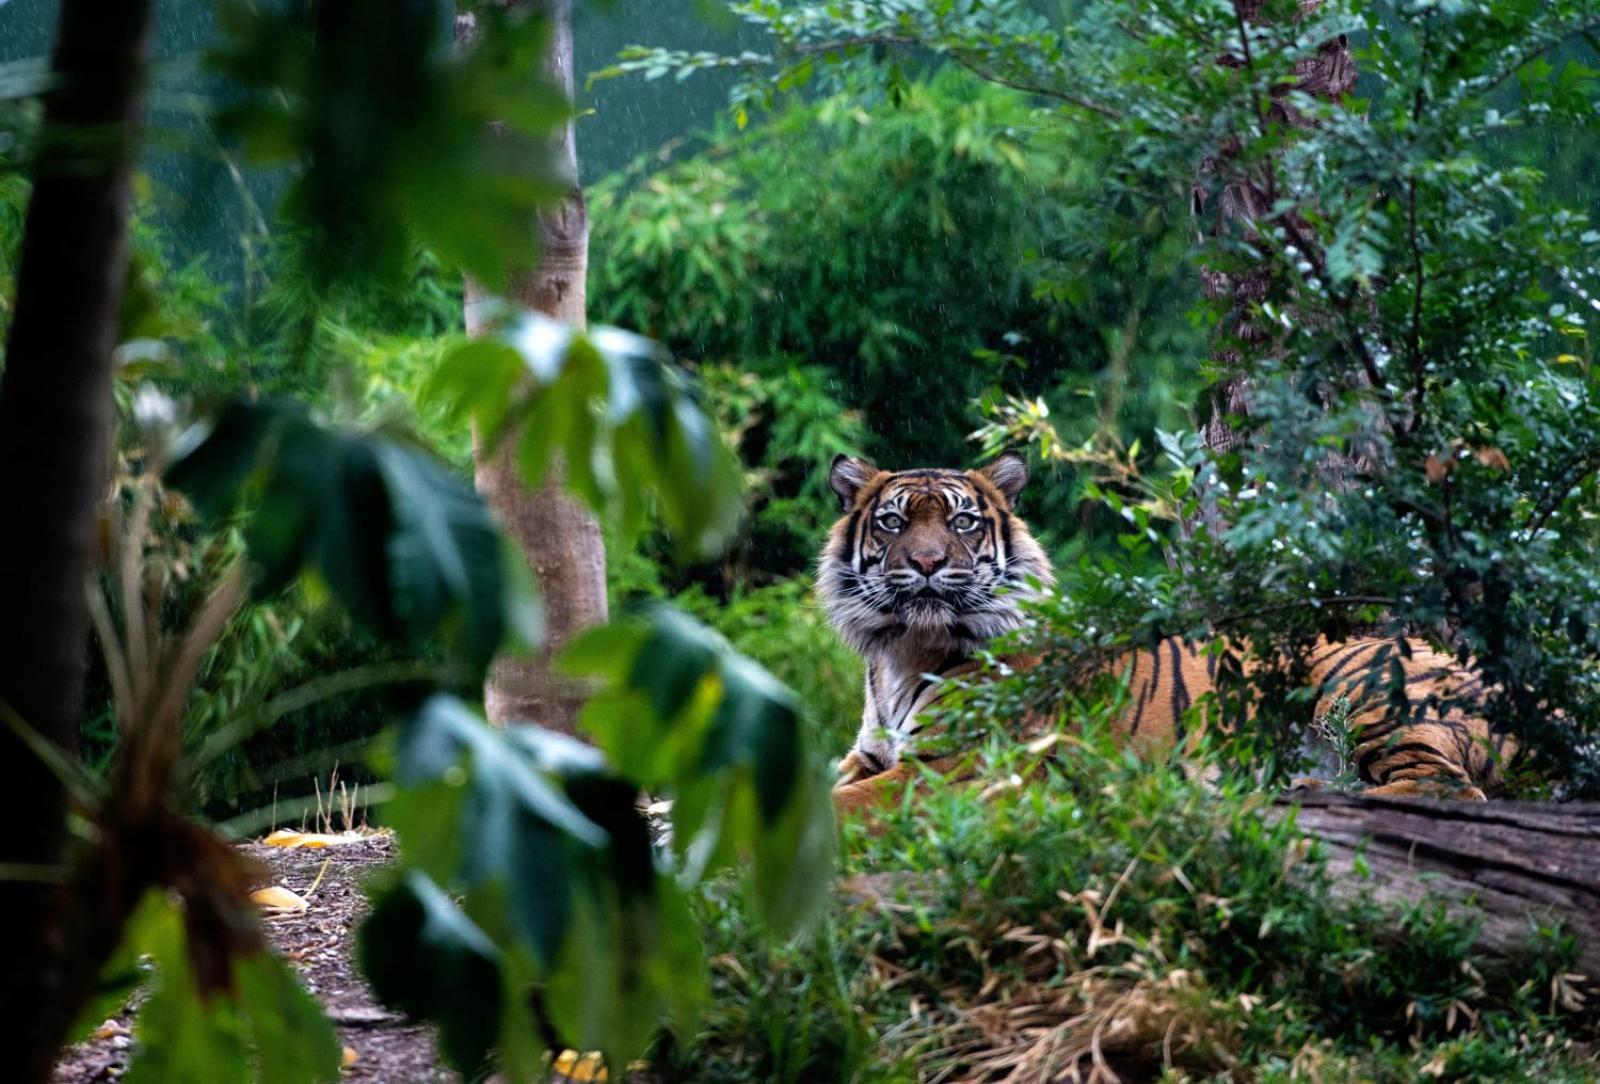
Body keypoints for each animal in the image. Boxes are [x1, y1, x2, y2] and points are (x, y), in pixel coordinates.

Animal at [819, 450, 1516, 815]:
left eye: (961, 522)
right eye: (892, 522)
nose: (928, 563)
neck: (903, 650)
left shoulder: (952, 768)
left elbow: (836, 811)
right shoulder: (867, 757)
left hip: (1353, 682)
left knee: (1448, 790)